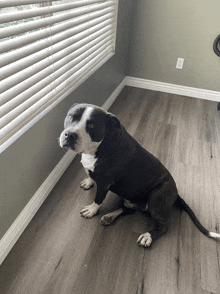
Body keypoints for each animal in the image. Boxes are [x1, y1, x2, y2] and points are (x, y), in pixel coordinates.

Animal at [59, 103, 220, 246]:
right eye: (70, 117)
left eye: (92, 125)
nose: (70, 135)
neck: (99, 146)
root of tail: (176, 193)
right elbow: (91, 175)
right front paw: (89, 181)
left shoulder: (105, 182)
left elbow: (98, 198)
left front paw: (92, 210)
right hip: (130, 197)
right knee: (128, 209)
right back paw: (110, 216)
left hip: (157, 196)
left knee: (163, 226)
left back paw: (148, 236)